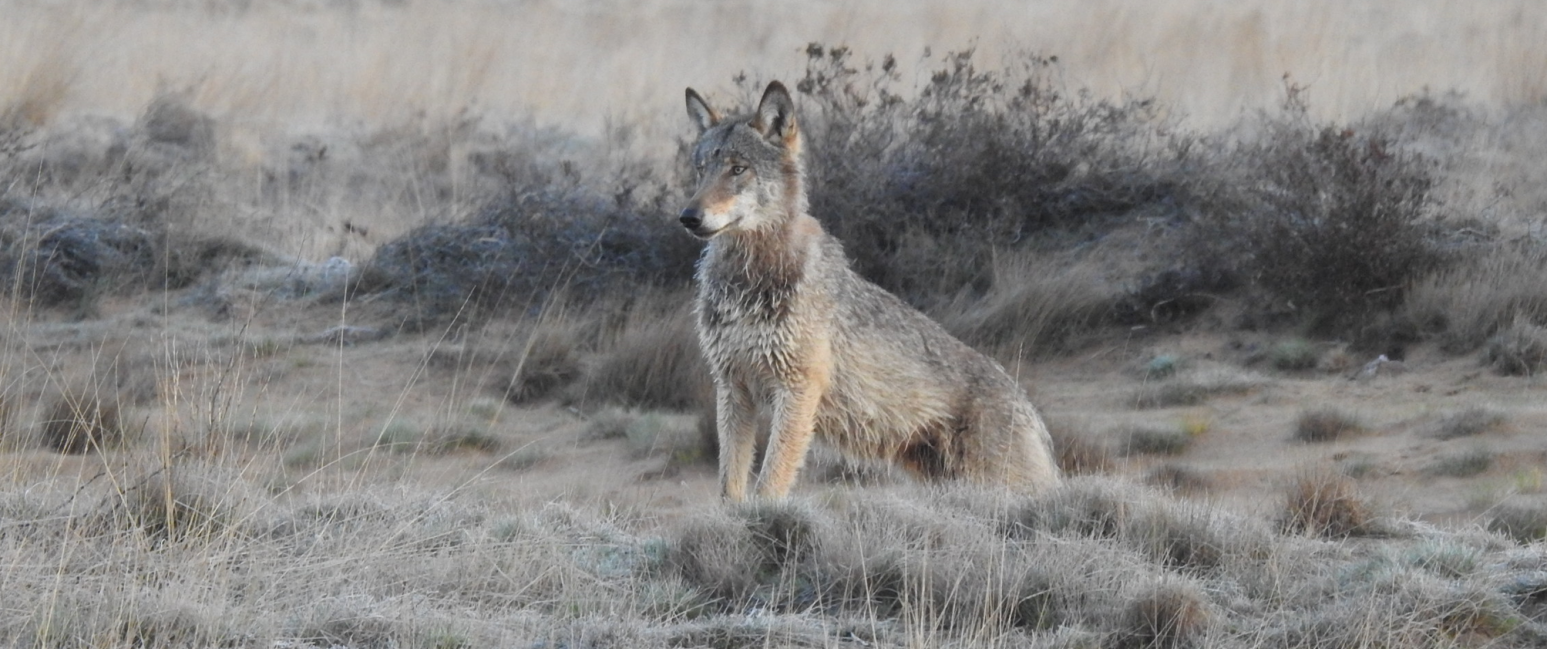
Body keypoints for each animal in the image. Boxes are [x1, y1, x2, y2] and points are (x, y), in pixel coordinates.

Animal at [680, 81, 1061, 501]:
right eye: (701, 171)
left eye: (738, 169)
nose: (688, 217)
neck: (748, 280)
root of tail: (1030, 409)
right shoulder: (733, 388)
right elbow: (730, 490)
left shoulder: (797, 389)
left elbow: (769, 487)